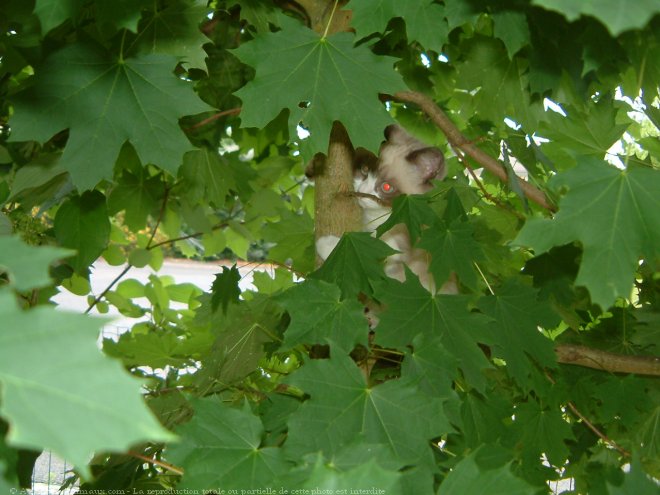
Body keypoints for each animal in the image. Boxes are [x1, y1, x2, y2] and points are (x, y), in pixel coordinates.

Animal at [318, 126, 456, 294]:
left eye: (386, 187)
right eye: (365, 169)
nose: (362, 191)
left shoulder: (401, 254)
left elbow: (369, 246)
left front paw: (327, 244)